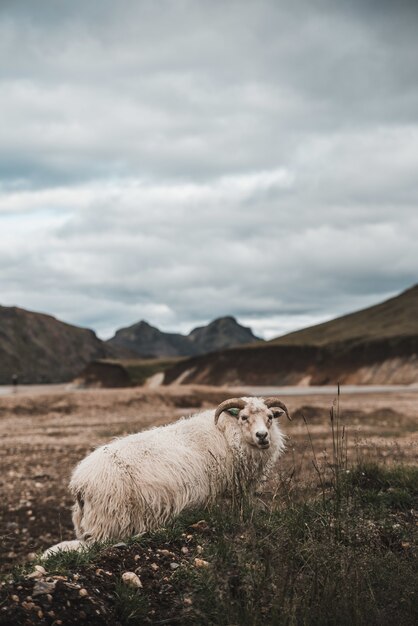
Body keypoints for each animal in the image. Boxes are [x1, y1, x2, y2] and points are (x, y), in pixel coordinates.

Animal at [44, 398, 290, 552]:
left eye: (270, 416)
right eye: (244, 417)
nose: (262, 436)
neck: (226, 432)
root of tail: (79, 483)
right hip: (109, 520)